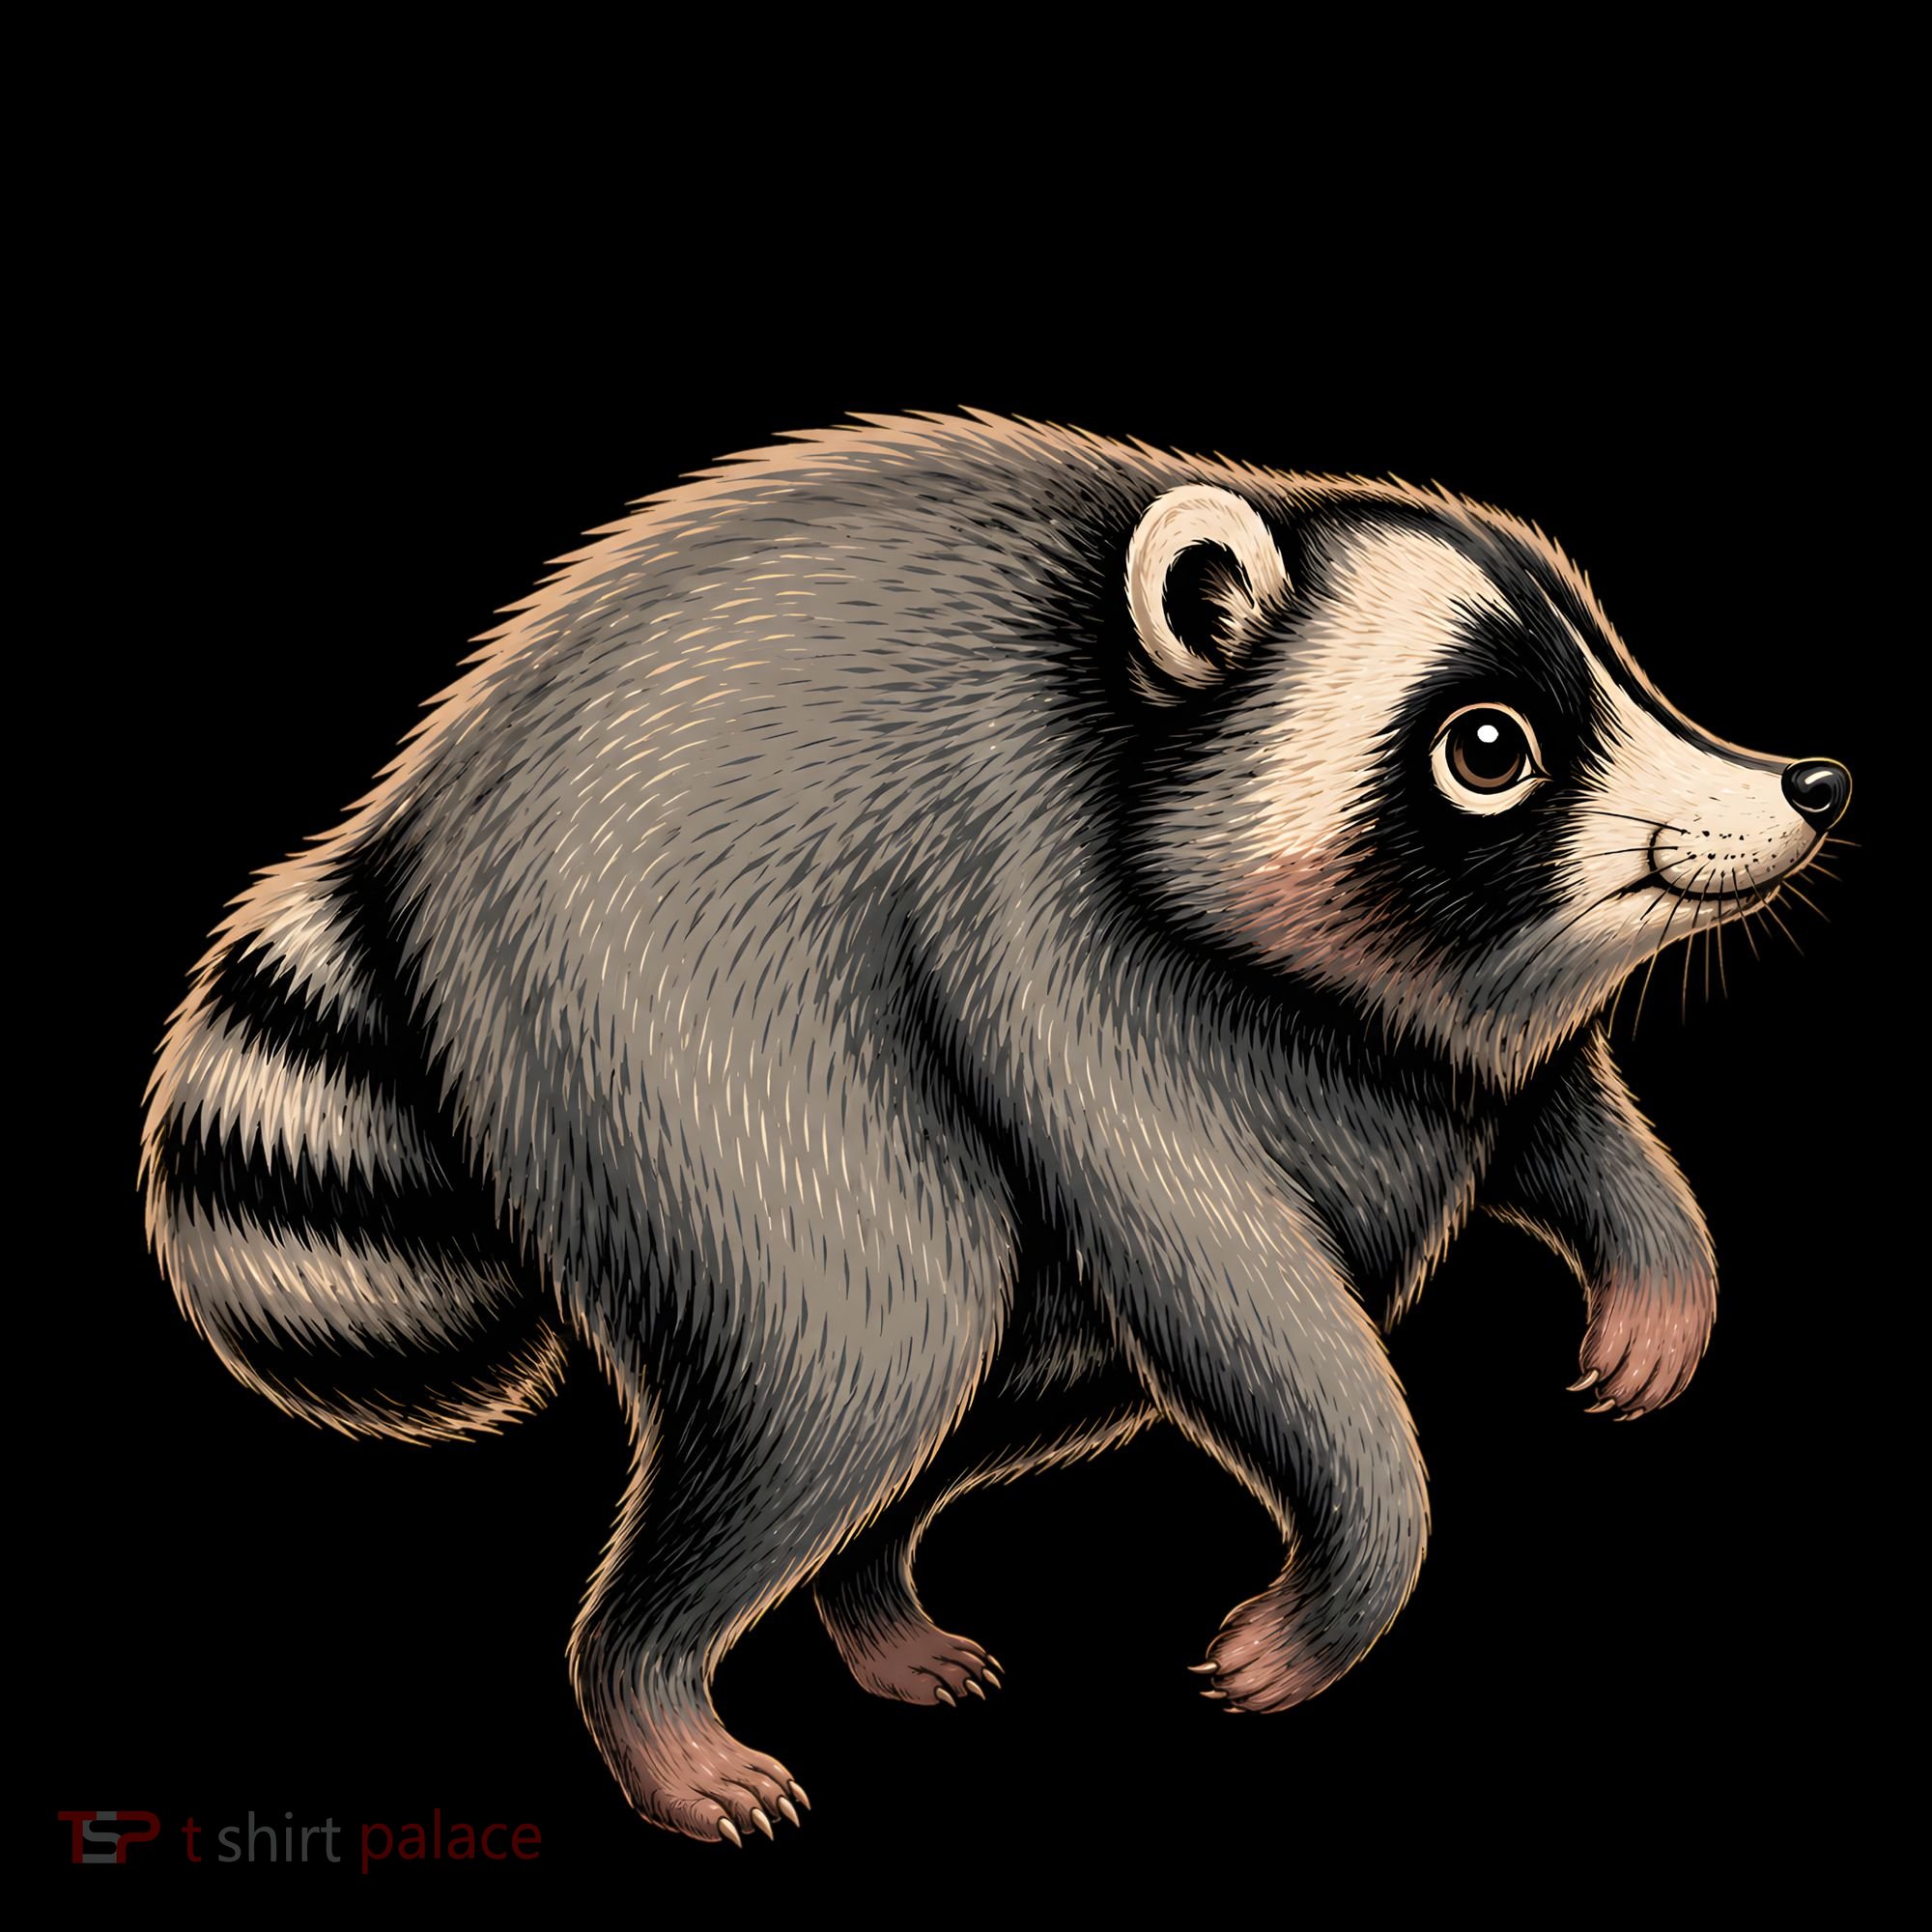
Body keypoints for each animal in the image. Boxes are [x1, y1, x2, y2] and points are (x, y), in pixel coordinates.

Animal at [140, 412, 1849, 1844]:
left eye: (1618, 668)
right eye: (1490, 746)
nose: (1810, 786)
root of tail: (401, 830)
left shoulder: (1435, 1028)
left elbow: (1548, 1117)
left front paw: (1653, 1256)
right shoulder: (1033, 915)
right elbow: (1225, 1272)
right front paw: (1354, 1562)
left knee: (999, 1370)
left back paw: (868, 1593)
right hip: (658, 1029)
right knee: (882, 1325)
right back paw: (647, 1677)